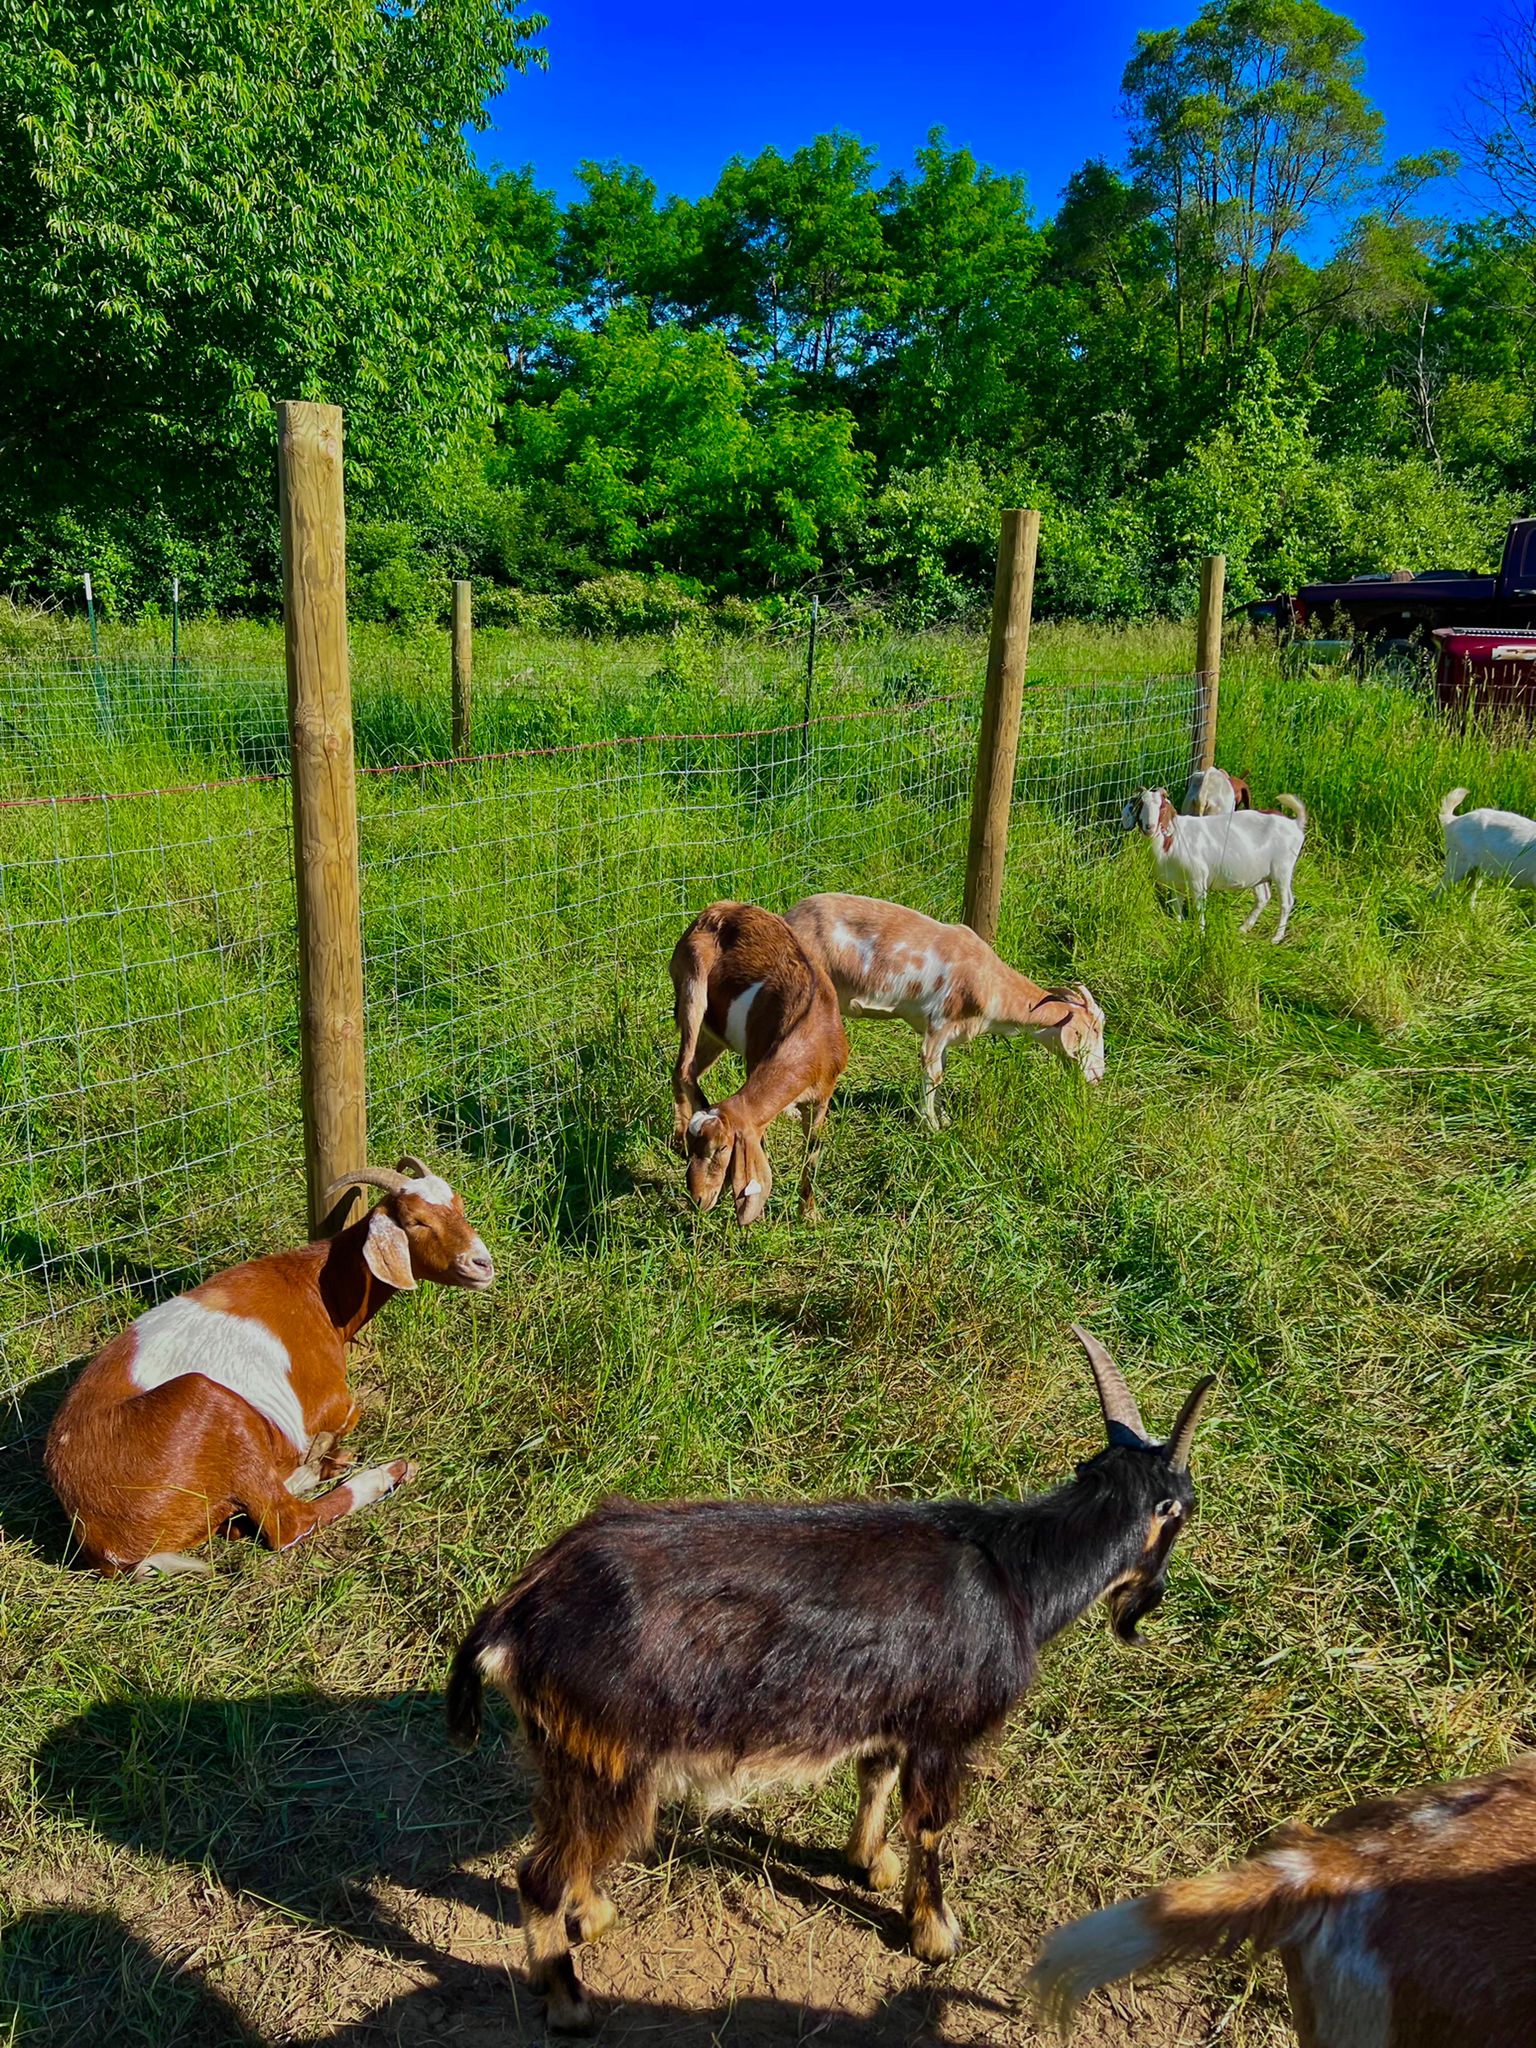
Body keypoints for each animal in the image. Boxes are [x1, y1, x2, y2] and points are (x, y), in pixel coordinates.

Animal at [44, 1158, 493, 1576]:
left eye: (459, 1207)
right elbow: (349, 1413)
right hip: (208, 1403)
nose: (482, 1264)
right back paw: (379, 1473)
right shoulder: (329, 1400)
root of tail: (101, 1540)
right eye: (417, 1222)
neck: (320, 1289)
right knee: (286, 1522)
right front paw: (321, 1449)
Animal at [447, 1327, 1215, 2034]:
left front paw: (868, 1862)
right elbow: (932, 1826)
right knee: (538, 1875)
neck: (1016, 1574)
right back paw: (569, 2000)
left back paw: (595, 1913)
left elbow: (874, 1774)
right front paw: (935, 1934)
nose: (1148, 1604)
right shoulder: (944, 1732)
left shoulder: (893, 1712)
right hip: (609, 1761)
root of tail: (515, 1614)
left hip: (566, 1754)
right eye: (1183, 1507)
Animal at [669, 900, 849, 1226]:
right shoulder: (755, 1063)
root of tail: (718, 909)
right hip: (692, 982)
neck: (812, 1034)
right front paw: (760, 1216)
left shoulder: (823, 1097)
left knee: (687, 1069)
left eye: (722, 1148)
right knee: (683, 1068)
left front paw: (809, 1213)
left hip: (714, 1034)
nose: (698, 1199)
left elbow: (812, 1152)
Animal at [785, 892, 1104, 1127]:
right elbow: (933, 1072)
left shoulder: (950, 1033)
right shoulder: (938, 1024)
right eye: (1095, 1029)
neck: (990, 982)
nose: (1099, 1076)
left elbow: (942, 1069)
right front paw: (931, 1126)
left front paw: (944, 1118)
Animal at [1123, 787, 1307, 942]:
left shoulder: (1198, 880)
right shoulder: (1176, 884)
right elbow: (1176, 907)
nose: (1149, 826)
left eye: (1161, 807)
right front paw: (1178, 929)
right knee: (1263, 897)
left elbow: (1199, 908)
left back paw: (1276, 938)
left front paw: (1200, 934)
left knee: (1287, 901)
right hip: (1259, 872)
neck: (1173, 839)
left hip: (1283, 869)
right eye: (1141, 804)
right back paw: (1244, 928)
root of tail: (1295, 824)